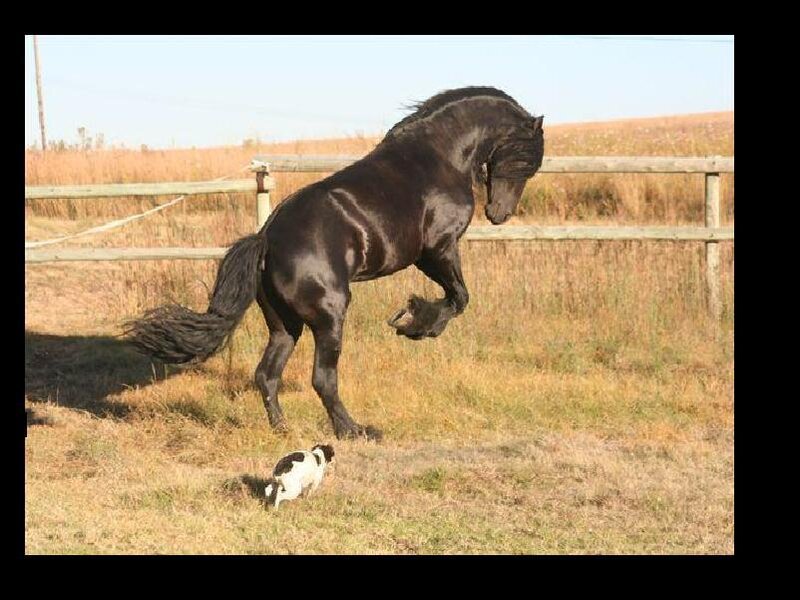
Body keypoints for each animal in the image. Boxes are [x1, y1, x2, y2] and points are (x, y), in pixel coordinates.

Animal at [125, 86, 545, 441]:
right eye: (526, 159)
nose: (499, 214)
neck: (438, 156)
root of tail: (267, 239)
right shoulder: (436, 249)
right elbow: (458, 298)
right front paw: (414, 323)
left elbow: (457, 297)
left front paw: (412, 319)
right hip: (329, 317)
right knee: (323, 379)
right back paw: (354, 431)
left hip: (285, 325)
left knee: (267, 375)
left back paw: (284, 431)